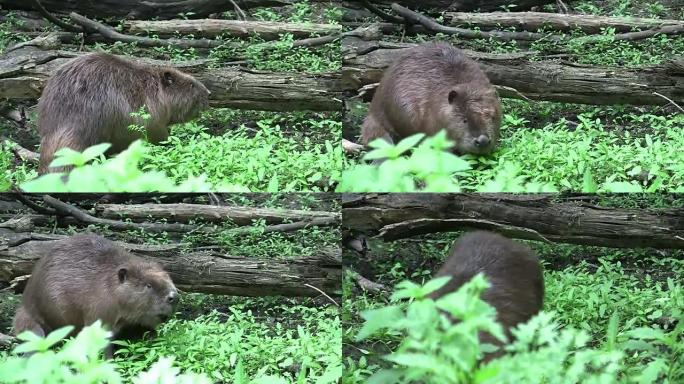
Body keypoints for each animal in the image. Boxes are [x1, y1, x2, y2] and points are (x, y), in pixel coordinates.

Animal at [12, 231, 179, 356]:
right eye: (148, 285)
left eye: (168, 278)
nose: (174, 297)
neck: (109, 283)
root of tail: (25, 307)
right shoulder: (100, 310)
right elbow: (100, 337)